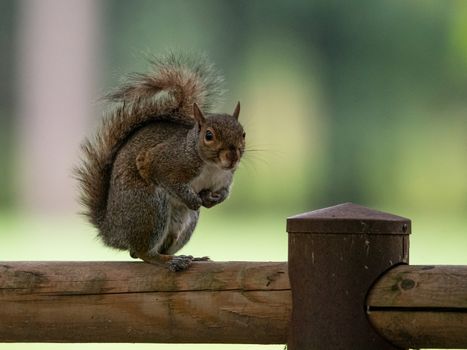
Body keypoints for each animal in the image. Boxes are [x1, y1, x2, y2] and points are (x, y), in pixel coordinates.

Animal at [74, 52, 245, 270]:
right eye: (209, 135)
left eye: (243, 134)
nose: (233, 157)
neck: (212, 166)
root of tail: (112, 231)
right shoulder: (163, 161)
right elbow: (164, 177)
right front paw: (193, 199)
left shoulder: (224, 179)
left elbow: (224, 192)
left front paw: (213, 199)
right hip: (149, 208)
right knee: (142, 252)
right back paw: (166, 260)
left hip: (182, 224)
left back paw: (186, 257)